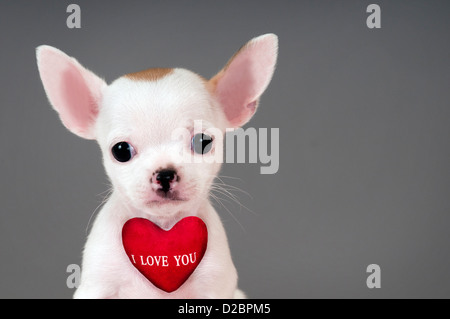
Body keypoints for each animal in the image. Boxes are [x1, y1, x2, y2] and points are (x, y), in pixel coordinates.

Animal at [36, 33, 278, 298]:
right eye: (120, 151)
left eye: (203, 142)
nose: (164, 174)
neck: (163, 225)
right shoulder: (96, 287)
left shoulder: (218, 287)